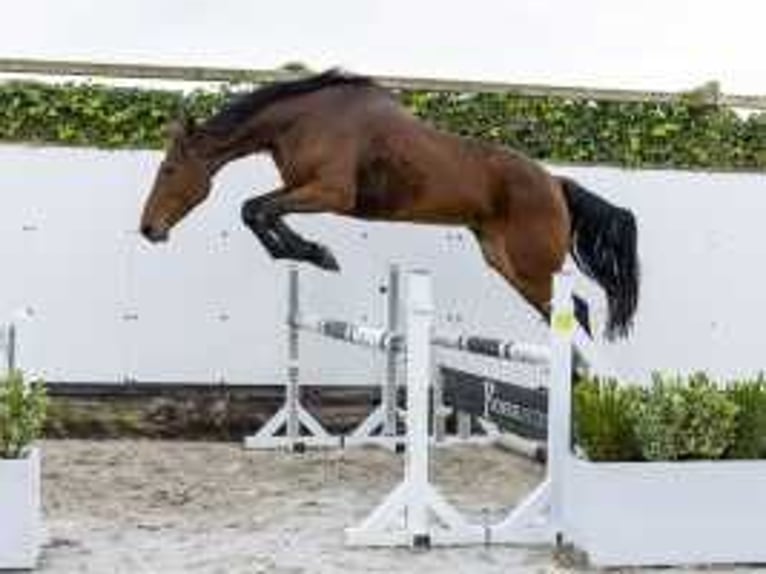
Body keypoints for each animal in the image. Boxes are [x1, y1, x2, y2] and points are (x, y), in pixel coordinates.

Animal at [140, 72, 640, 342]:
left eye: (168, 169)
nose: (148, 229)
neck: (302, 121)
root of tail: (555, 182)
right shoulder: (303, 190)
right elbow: (259, 211)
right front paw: (309, 253)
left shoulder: (329, 194)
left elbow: (255, 209)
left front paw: (316, 254)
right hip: (506, 262)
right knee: (571, 313)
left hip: (535, 265)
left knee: (576, 312)